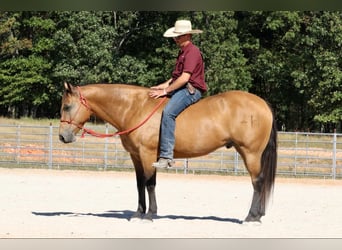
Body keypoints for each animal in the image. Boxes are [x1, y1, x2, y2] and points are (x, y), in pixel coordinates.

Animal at [59, 82, 278, 223]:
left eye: (67, 106)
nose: (62, 136)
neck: (134, 108)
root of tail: (263, 104)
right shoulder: (136, 156)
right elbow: (140, 184)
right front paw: (139, 213)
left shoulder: (148, 155)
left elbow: (150, 184)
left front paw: (150, 215)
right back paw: (258, 215)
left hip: (250, 153)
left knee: (257, 182)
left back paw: (252, 217)